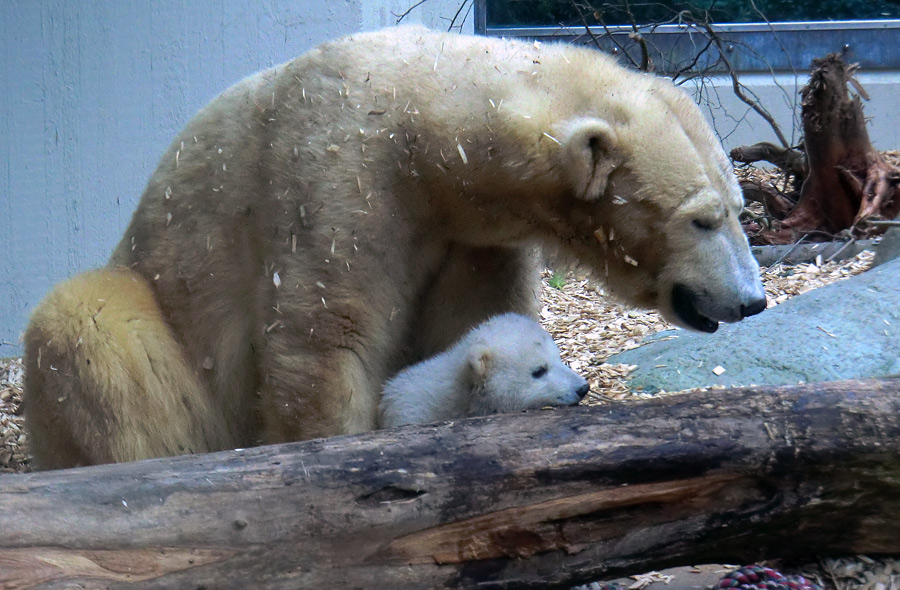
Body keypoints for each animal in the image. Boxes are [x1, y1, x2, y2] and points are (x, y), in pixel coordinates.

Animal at [24, 26, 764, 472]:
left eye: (740, 209)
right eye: (702, 219)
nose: (753, 301)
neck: (423, 131)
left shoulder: (469, 235)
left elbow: (465, 324)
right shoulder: (336, 173)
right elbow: (328, 338)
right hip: (144, 302)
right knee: (96, 331)